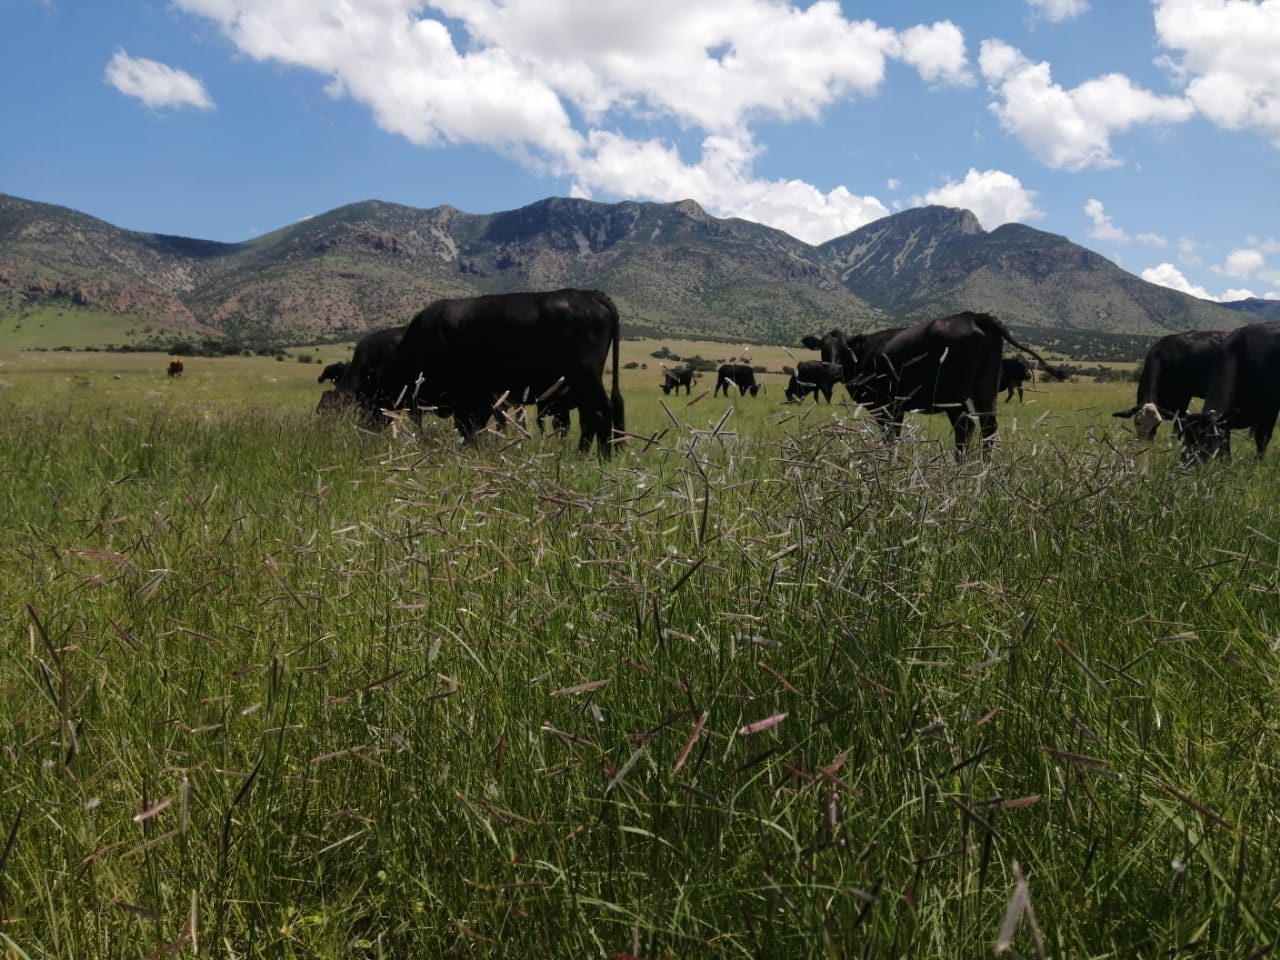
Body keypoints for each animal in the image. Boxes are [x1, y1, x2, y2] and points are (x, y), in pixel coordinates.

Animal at [371, 289, 624, 457]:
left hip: (586, 379)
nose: (367, 427)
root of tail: (591, 295)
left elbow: (468, 426)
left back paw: (602, 457)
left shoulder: (466, 398)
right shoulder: (482, 398)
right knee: (593, 415)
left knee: (600, 412)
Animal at [802, 312, 1067, 458]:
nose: (832, 369)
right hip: (985, 388)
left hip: (953, 396)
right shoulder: (895, 407)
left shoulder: (886, 406)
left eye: (845, 349)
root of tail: (973, 316)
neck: (866, 354)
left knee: (965, 428)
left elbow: (890, 437)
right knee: (988, 427)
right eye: (823, 348)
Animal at [1176, 322, 1280, 464]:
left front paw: (1258, 463)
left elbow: (1262, 439)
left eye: (1206, 441)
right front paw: (1226, 463)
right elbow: (1225, 442)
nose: (1185, 465)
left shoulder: (1270, 408)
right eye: (1184, 440)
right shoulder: (1227, 419)